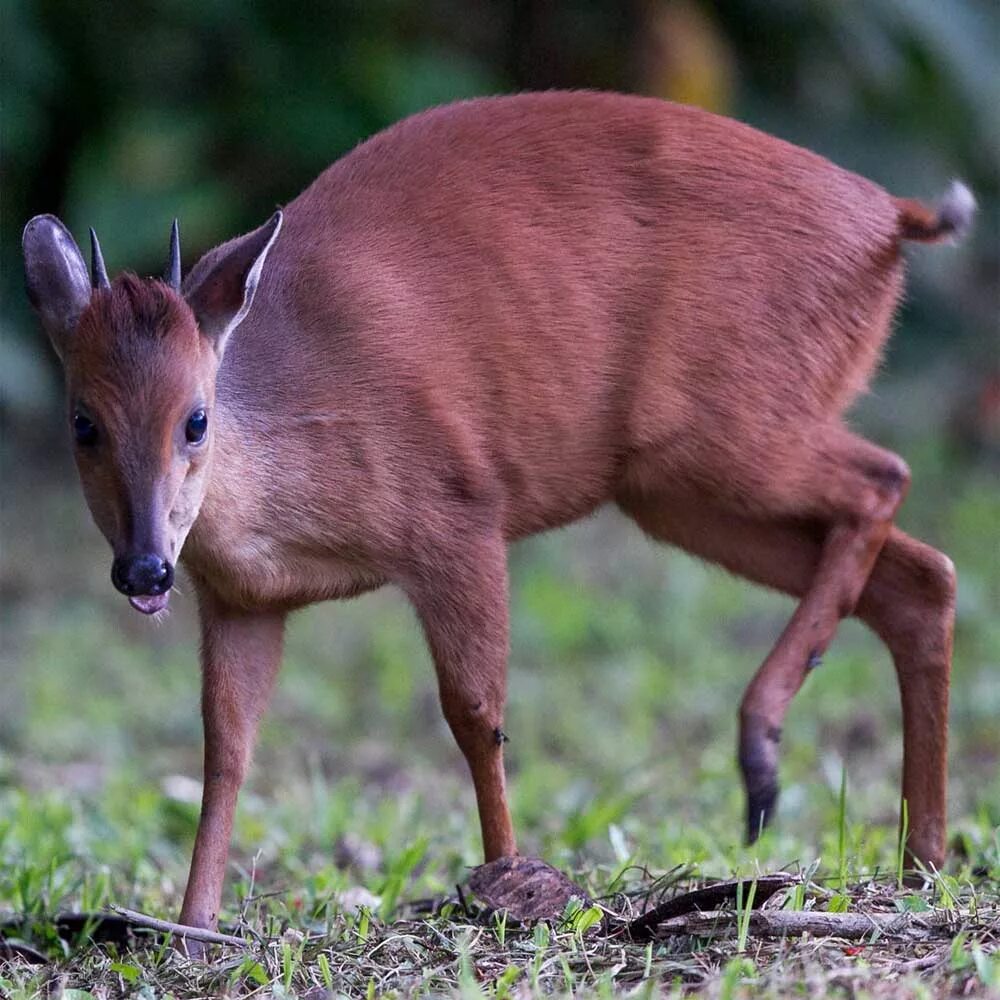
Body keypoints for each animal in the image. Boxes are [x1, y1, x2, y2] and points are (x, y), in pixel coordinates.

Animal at [25, 90, 976, 932]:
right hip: (674, 486)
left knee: (884, 475)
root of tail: (893, 218)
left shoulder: (459, 514)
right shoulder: (242, 599)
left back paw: (764, 747)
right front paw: (192, 924)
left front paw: (510, 880)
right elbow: (226, 750)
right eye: (82, 422)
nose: (145, 568)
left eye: (196, 417)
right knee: (921, 576)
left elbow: (476, 714)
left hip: (727, 427)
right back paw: (919, 857)